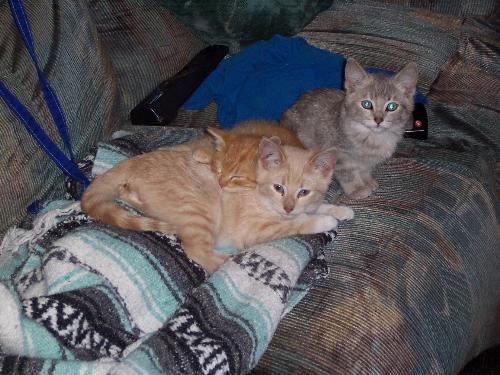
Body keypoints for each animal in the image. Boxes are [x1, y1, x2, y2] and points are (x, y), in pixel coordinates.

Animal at [282, 58, 418, 200]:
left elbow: (364, 169)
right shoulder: (340, 155)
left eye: (392, 106)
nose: (378, 120)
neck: (372, 137)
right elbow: (349, 173)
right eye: (366, 104)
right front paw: (357, 188)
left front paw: (367, 180)